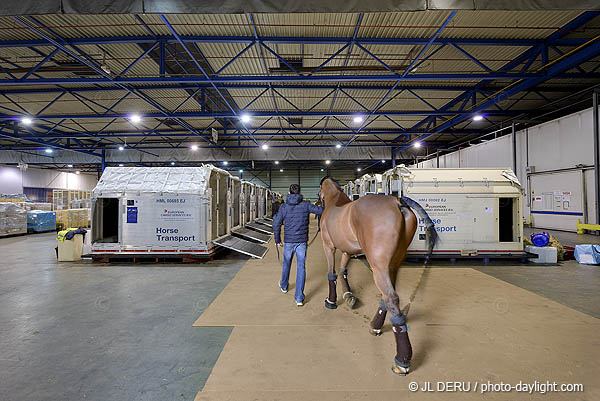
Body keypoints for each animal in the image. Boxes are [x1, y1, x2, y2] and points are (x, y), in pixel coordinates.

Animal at [316, 177, 438, 374]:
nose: (317, 201)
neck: (335, 203)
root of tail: (398, 202)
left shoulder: (329, 246)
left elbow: (331, 273)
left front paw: (331, 300)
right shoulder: (347, 250)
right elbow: (343, 271)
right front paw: (349, 296)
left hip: (378, 266)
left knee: (391, 298)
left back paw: (401, 361)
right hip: (393, 264)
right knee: (387, 297)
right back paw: (375, 326)